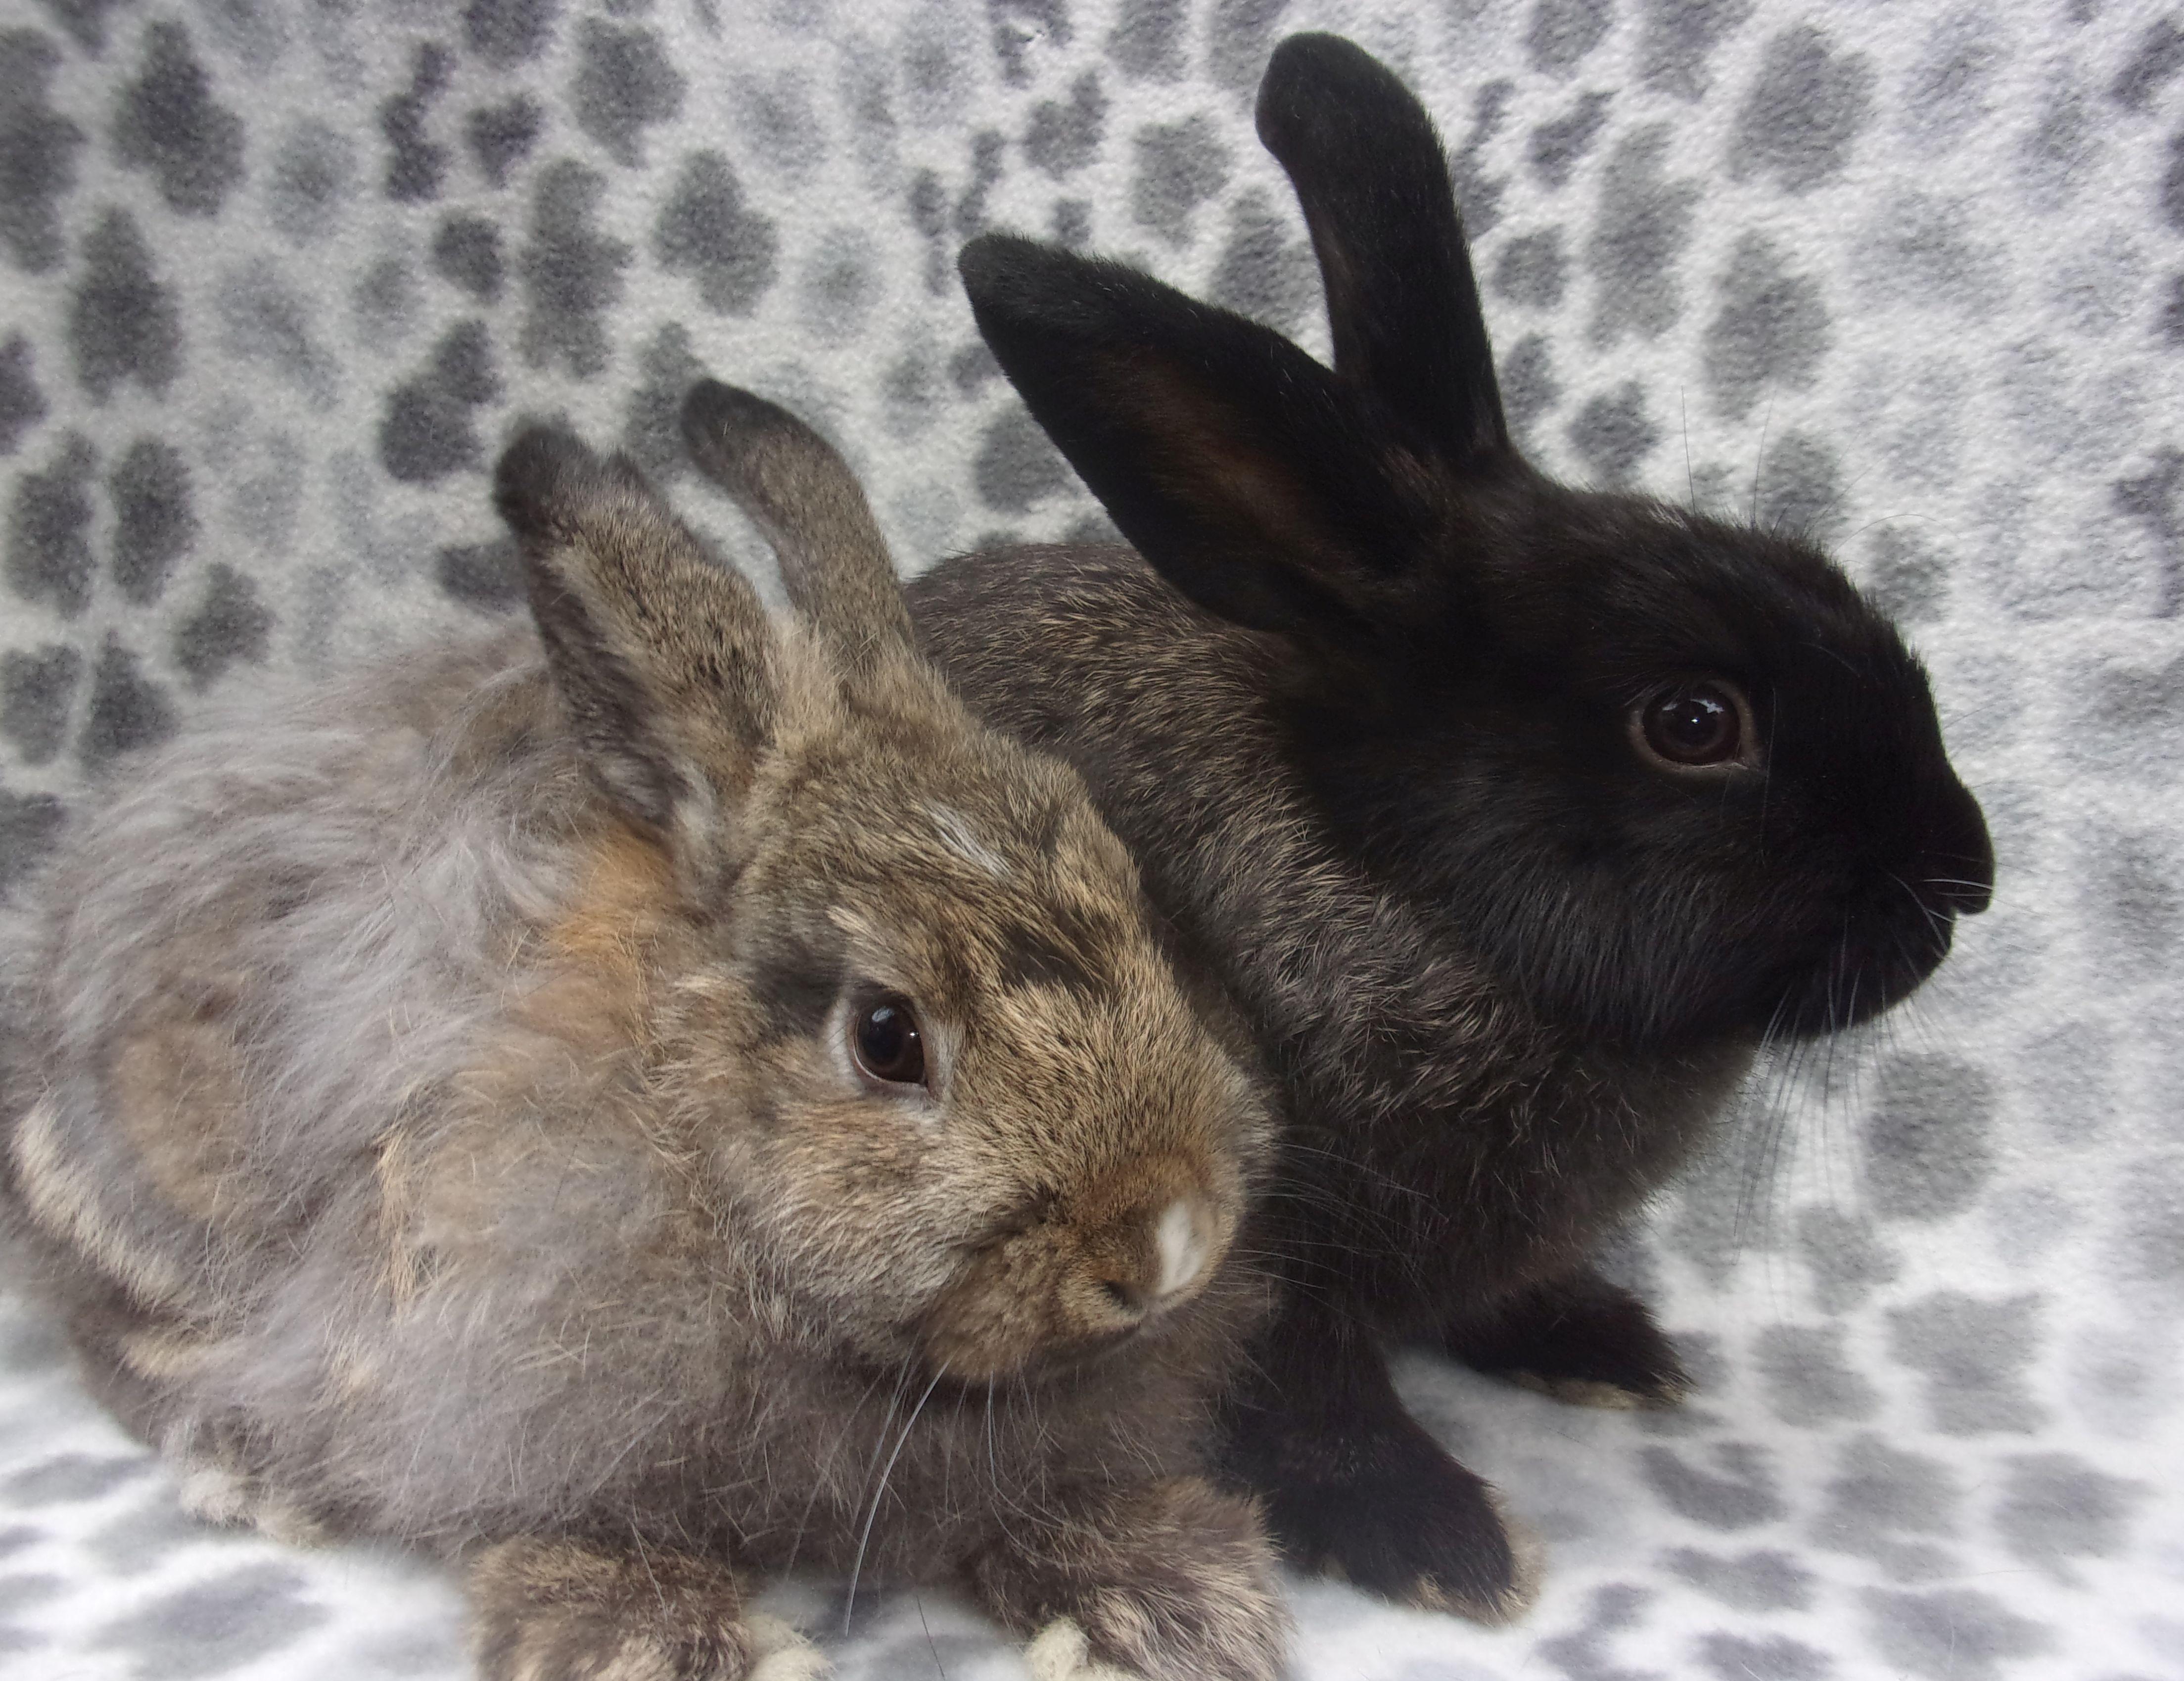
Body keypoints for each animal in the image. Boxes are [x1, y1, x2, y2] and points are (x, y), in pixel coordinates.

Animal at [0, 381, 1293, 1681]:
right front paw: (673, 1639)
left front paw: (1165, 1600)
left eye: (1135, 900)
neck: (681, 1111)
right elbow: (545, 1516)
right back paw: (252, 1473)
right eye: (886, 1036)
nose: (1170, 1237)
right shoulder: (480, 1368)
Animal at [905, 32, 1996, 1623]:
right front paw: (1437, 1541)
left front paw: (1606, 1350)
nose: (1964, 873)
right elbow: (1310, 1395)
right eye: (1691, 722)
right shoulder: (1235, 1245)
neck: (1406, 895)